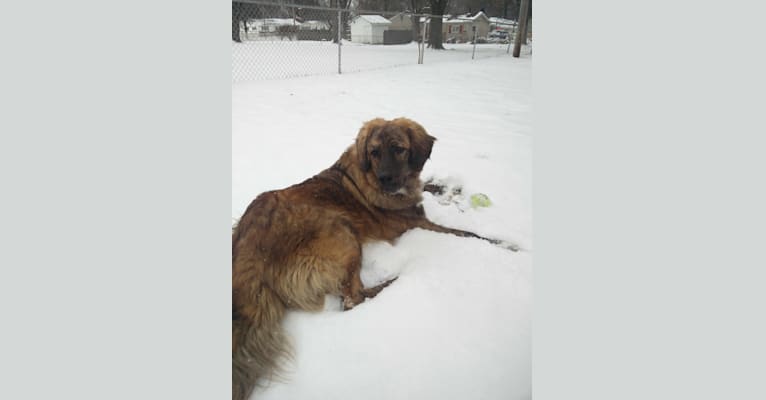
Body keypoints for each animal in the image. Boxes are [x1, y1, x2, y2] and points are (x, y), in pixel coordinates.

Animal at [231, 117, 512, 398]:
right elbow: (468, 233)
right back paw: (393, 282)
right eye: (374, 152)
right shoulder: (418, 224)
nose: (385, 178)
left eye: (399, 149)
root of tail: (248, 250)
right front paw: (507, 245)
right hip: (342, 232)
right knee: (352, 299)